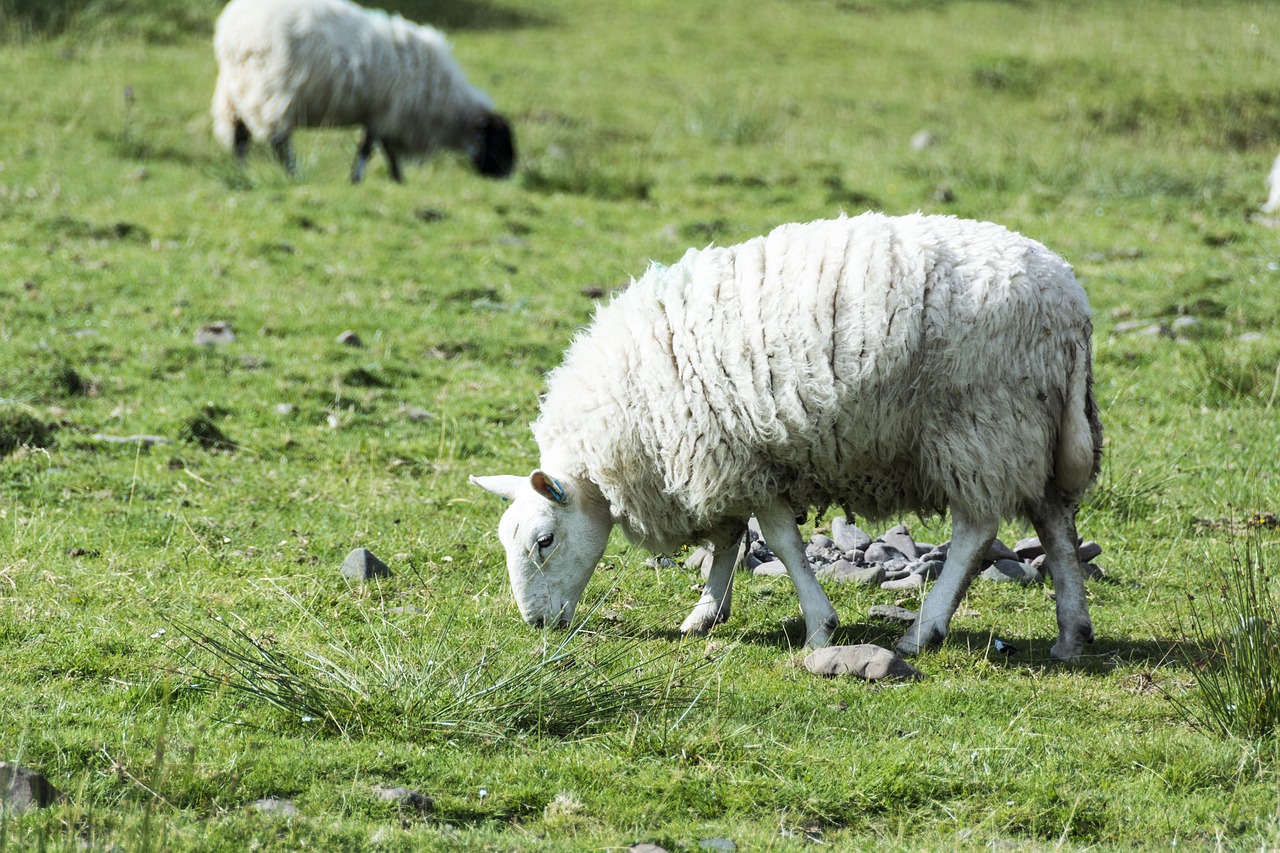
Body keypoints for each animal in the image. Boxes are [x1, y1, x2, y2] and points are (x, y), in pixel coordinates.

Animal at [211, 0, 514, 183]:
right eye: (499, 143)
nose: (508, 175)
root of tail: (231, 31)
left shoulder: (384, 114)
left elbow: (383, 148)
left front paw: (397, 179)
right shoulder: (387, 112)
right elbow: (369, 149)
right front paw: (359, 179)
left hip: (235, 90)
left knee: (240, 135)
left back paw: (241, 171)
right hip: (271, 91)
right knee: (278, 140)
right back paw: (292, 174)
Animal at [471, 212, 1100, 655]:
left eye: (544, 541)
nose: (536, 624)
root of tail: (1072, 305)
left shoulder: (744, 457)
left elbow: (779, 542)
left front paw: (820, 626)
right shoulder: (720, 461)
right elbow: (727, 540)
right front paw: (706, 613)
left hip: (981, 423)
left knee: (976, 530)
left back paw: (923, 632)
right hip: (1033, 427)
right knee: (1056, 525)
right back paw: (1071, 635)